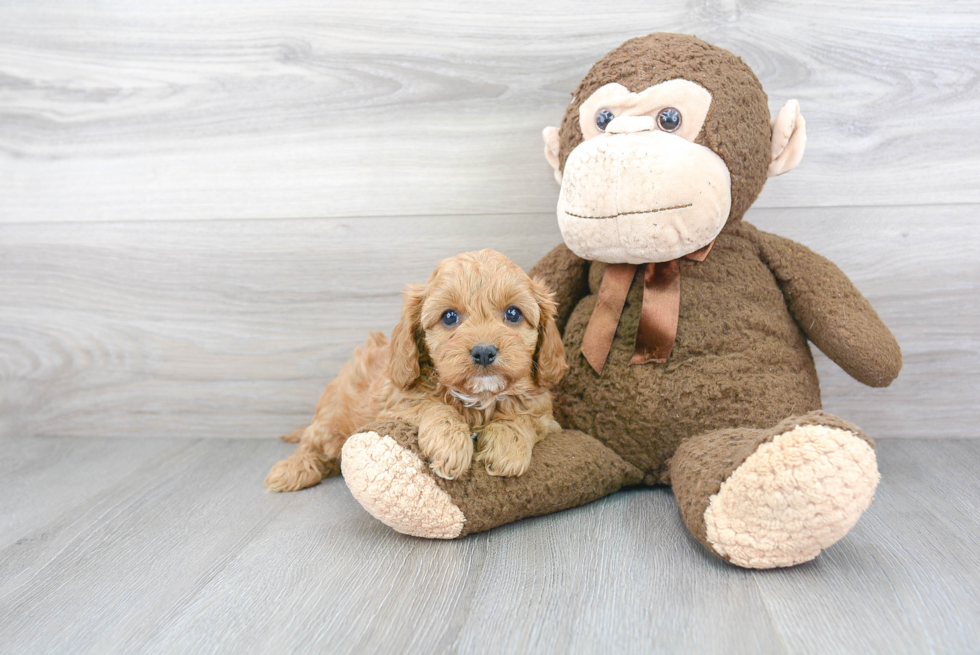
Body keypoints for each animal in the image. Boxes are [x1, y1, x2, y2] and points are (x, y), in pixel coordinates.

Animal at [262, 250, 568, 492]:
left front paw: (508, 447)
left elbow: (524, 417)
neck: (479, 399)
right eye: (449, 317)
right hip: (331, 417)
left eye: (513, 313)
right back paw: (290, 470)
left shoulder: (545, 413)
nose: (484, 352)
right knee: (312, 445)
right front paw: (450, 445)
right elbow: (431, 405)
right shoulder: (395, 403)